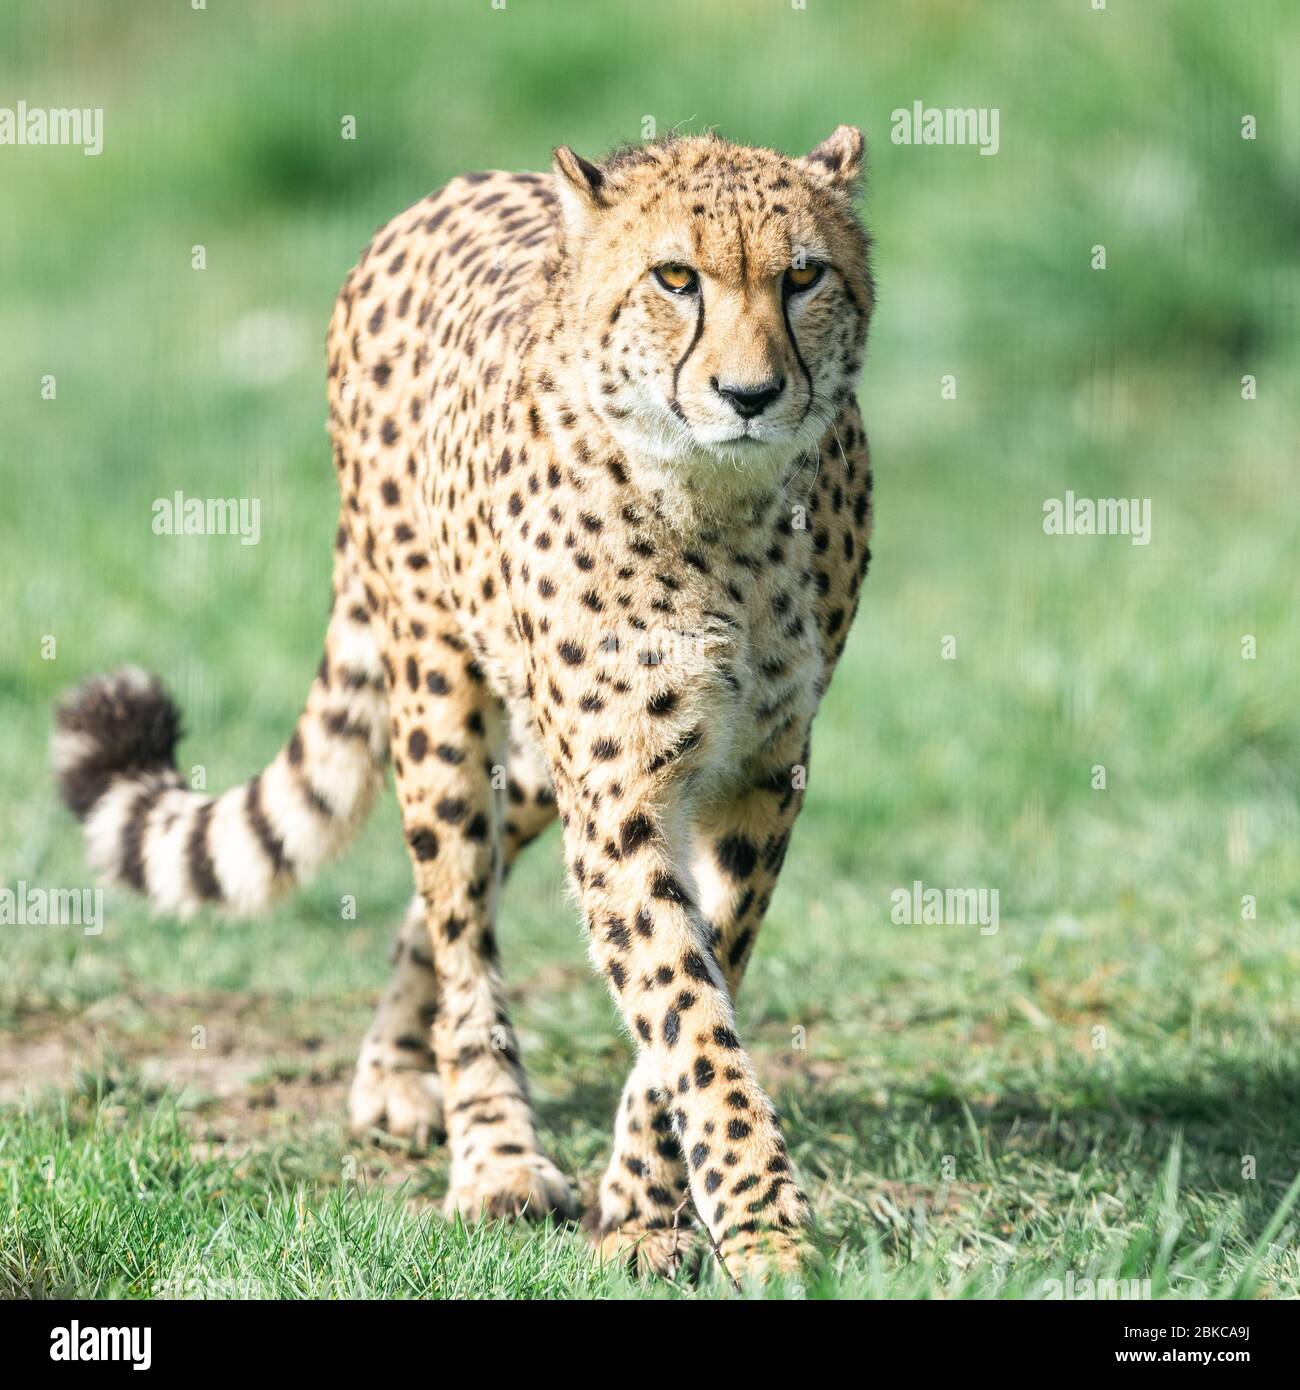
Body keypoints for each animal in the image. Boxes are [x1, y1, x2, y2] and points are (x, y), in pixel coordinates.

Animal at [55, 130, 878, 1278]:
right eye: (676, 279)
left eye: (804, 277)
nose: (751, 394)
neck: (726, 515)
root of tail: (436, 197)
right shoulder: (620, 789)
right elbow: (682, 1006)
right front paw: (761, 1228)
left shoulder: (761, 777)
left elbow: (689, 994)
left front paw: (648, 1205)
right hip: (441, 695)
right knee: (456, 914)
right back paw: (490, 1154)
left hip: (531, 754)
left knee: (451, 902)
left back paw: (401, 1071)